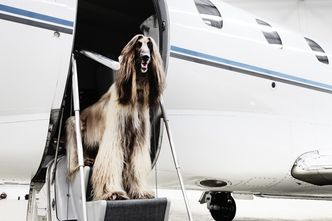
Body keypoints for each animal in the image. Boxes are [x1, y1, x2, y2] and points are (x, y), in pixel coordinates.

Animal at [66, 34, 166, 200]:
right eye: (138, 45)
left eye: (150, 45)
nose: (146, 58)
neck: (134, 95)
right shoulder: (115, 135)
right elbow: (110, 161)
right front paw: (113, 192)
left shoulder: (138, 139)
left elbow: (136, 165)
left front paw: (140, 191)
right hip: (74, 123)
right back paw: (82, 162)